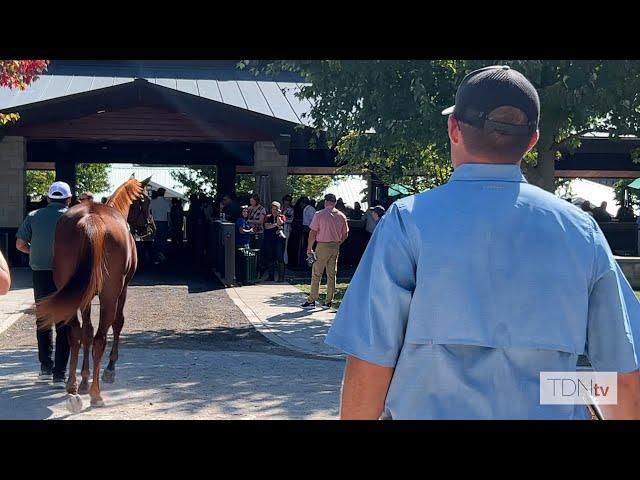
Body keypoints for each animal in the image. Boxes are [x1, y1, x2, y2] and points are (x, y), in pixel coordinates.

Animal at [37, 178, 154, 410]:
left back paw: (73, 388)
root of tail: (90, 220)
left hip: (71, 292)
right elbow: (117, 324)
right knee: (100, 338)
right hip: (110, 295)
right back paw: (96, 394)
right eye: (146, 200)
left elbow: (86, 333)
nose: (150, 227)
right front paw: (109, 370)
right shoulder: (123, 290)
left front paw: (84, 379)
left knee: (75, 333)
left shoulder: (86, 298)